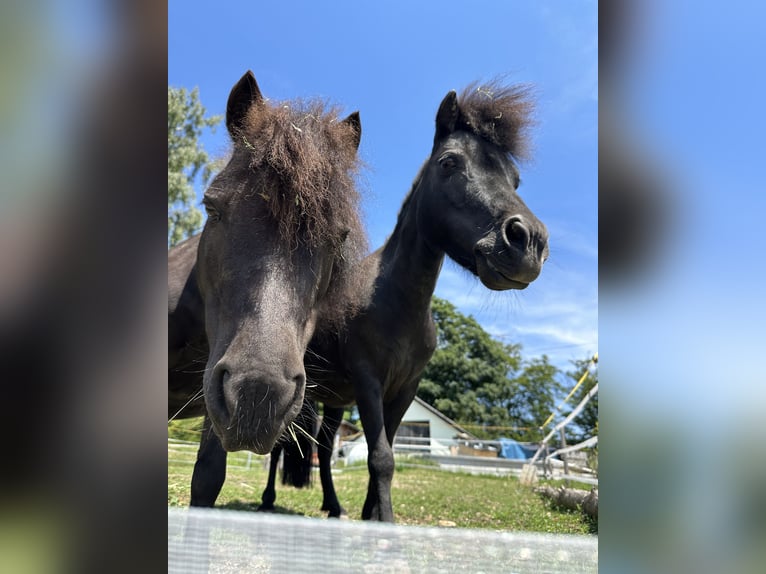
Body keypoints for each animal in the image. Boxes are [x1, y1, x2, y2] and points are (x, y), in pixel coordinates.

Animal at [259, 80, 549, 521]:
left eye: (515, 180)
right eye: (449, 162)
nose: (528, 241)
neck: (397, 303)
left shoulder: (404, 390)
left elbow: (385, 453)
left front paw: (370, 516)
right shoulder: (369, 382)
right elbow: (381, 457)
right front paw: (387, 523)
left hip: (334, 401)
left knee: (324, 446)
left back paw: (333, 506)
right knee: (279, 446)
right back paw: (268, 499)